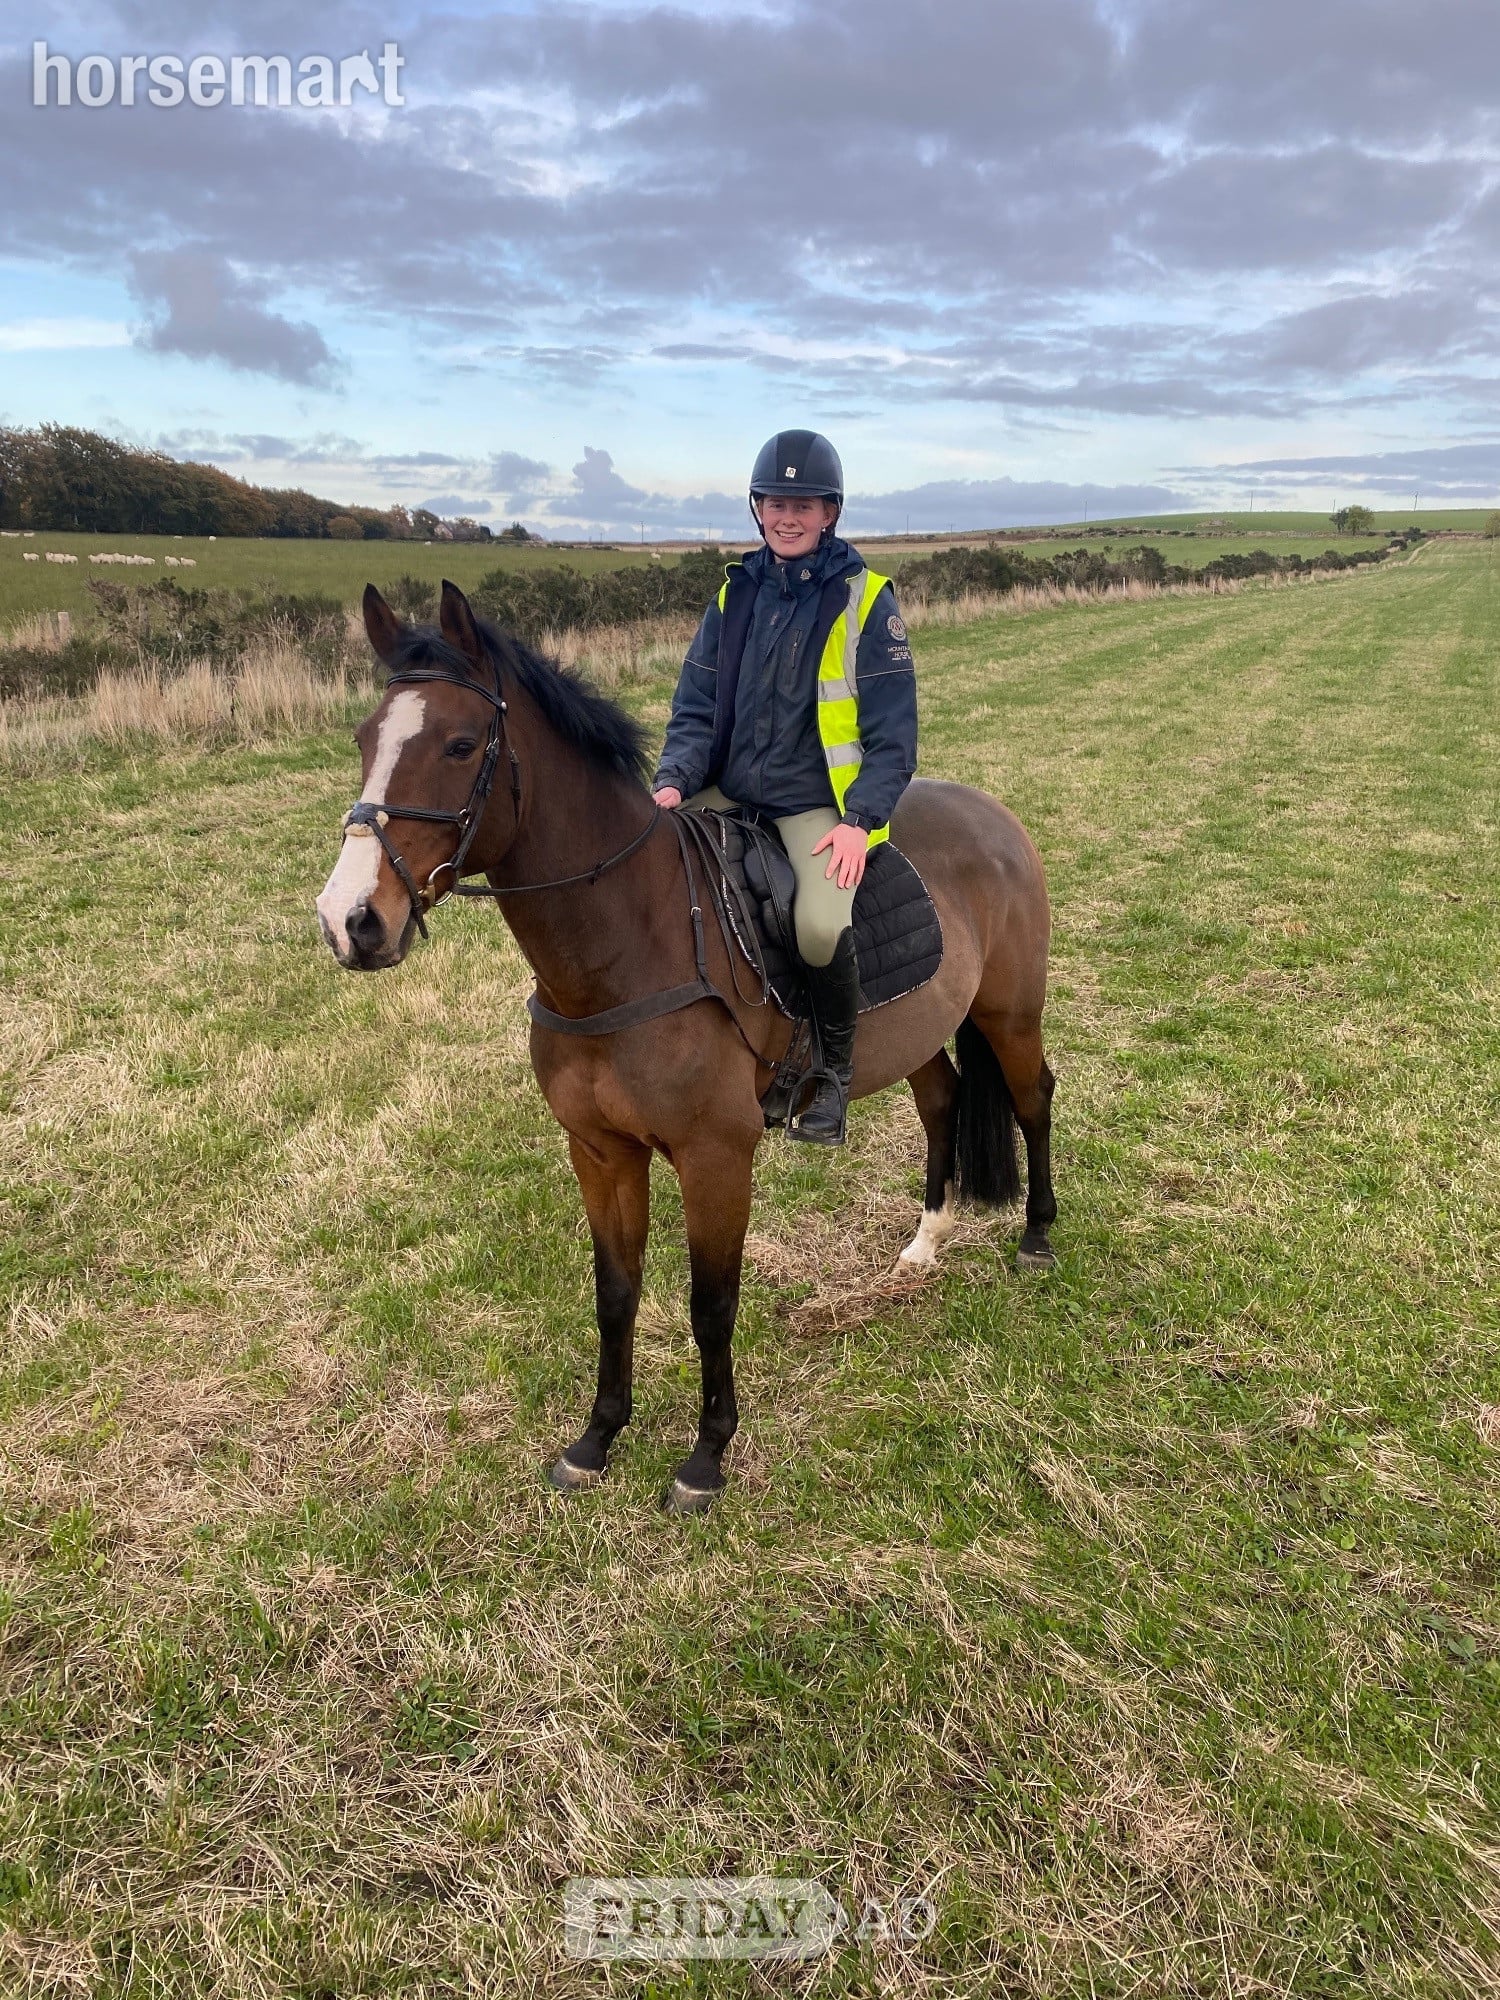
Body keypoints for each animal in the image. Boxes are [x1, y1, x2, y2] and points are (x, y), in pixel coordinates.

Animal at [316, 581, 1057, 1513]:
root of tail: (993, 816)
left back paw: (1037, 1239)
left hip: (1010, 1015)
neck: (628, 946)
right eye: (364, 740)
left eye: (458, 744)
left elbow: (712, 1304)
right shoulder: (600, 1152)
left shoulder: (715, 1156)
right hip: (922, 1030)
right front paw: (597, 1438)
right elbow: (615, 1292)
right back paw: (926, 1242)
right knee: (944, 1103)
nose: (349, 919)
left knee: (1034, 1100)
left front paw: (706, 1456)